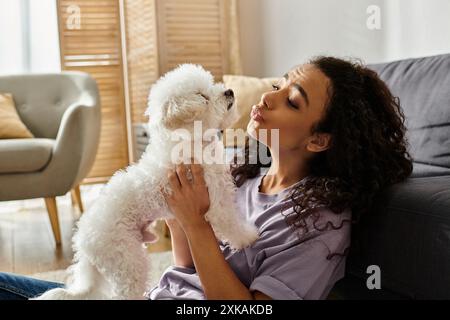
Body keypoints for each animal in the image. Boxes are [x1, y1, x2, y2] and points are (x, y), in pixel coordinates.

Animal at [34, 63, 258, 298]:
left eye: (212, 84)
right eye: (203, 97)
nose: (229, 91)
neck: (190, 141)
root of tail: (83, 242)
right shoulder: (215, 199)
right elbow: (230, 222)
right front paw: (248, 237)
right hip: (128, 260)